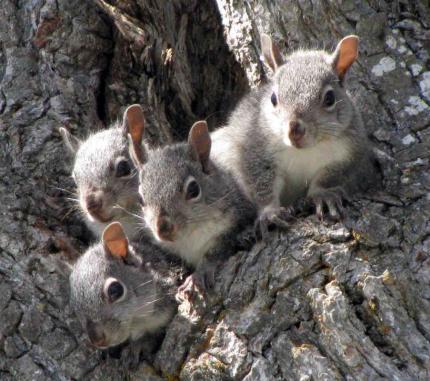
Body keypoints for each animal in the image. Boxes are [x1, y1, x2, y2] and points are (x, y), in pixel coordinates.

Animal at [127, 119, 255, 294]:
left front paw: (199, 274)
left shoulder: (233, 221)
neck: (189, 237)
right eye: (140, 198)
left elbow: (216, 251)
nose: (163, 229)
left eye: (194, 190)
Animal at [212, 34, 376, 232]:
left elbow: (329, 177)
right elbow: (261, 183)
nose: (294, 130)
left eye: (330, 98)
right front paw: (270, 213)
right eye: (273, 98)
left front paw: (323, 195)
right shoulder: (254, 148)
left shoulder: (348, 153)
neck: (304, 151)